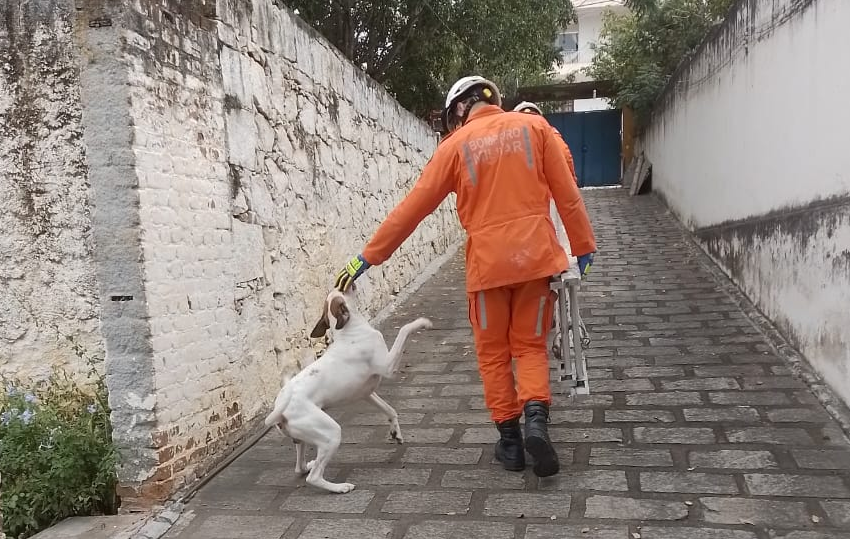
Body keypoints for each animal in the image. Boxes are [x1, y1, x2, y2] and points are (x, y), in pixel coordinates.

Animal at [264, 292, 430, 494]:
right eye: (342, 292)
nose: (348, 283)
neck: (350, 330)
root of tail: (282, 405)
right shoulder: (387, 367)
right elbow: (404, 330)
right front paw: (422, 322)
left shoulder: (366, 393)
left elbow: (390, 410)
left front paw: (395, 432)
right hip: (331, 434)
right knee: (314, 477)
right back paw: (339, 487)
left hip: (302, 439)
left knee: (300, 467)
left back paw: (309, 465)